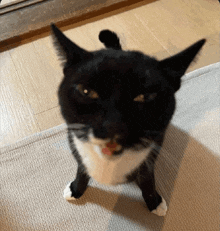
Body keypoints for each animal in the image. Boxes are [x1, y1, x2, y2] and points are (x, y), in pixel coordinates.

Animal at [50, 23, 205, 217]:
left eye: (144, 97)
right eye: (86, 91)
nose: (113, 126)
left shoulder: (149, 158)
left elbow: (147, 179)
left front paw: (154, 202)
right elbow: (81, 169)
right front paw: (76, 189)